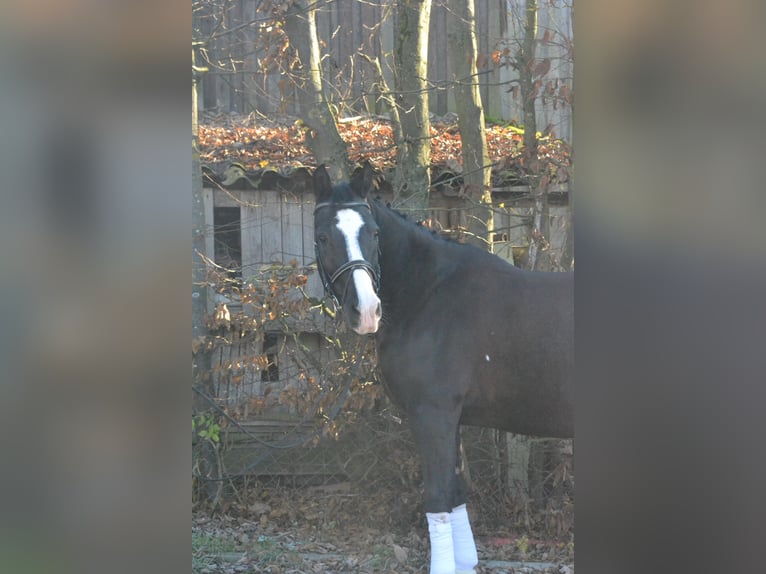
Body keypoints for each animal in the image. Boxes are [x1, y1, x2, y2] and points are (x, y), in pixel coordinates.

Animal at [314, 163, 576, 574]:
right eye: (323, 236)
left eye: (373, 233)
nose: (367, 311)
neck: (430, 294)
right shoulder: (452, 419)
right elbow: (455, 494)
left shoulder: (433, 414)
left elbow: (437, 498)